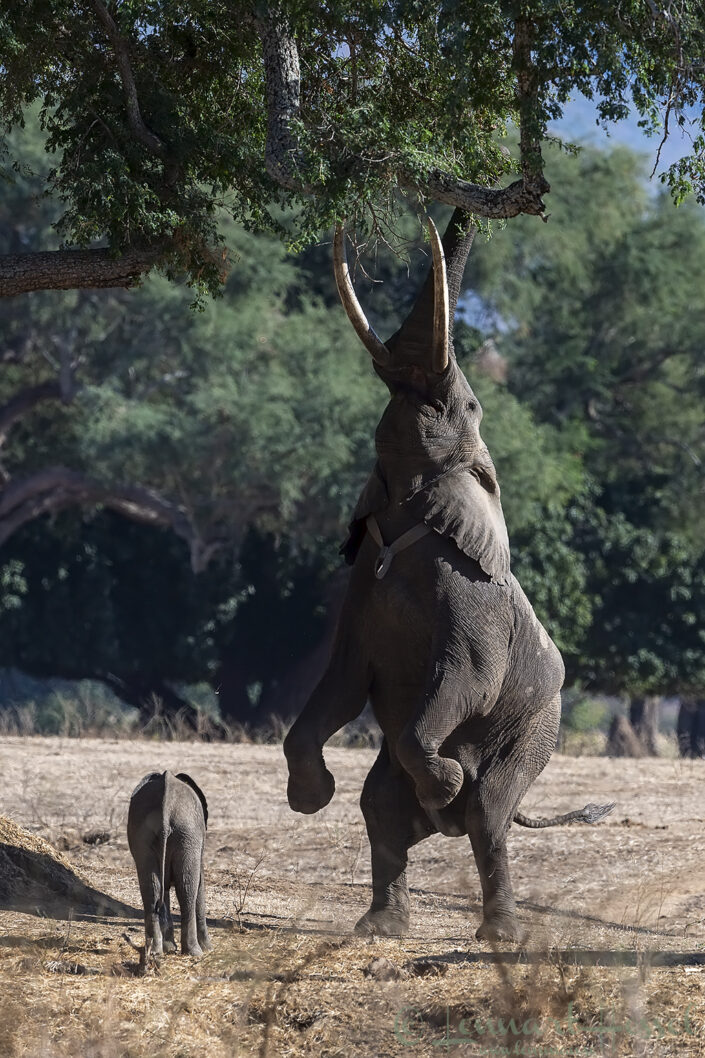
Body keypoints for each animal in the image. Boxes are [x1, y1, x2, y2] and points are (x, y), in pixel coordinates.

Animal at [127, 770, 211, 957]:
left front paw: (169, 948)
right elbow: (200, 885)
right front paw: (209, 948)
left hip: (144, 832)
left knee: (151, 888)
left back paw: (155, 951)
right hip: (188, 834)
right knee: (187, 887)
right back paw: (195, 952)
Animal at [283, 210, 613, 942]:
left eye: (464, 406)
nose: (440, 216)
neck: (409, 508)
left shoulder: (470, 590)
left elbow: (467, 673)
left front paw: (445, 784)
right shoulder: (362, 584)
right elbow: (342, 678)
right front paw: (309, 795)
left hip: (534, 729)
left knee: (490, 814)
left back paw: (497, 926)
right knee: (379, 808)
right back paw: (380, 927)